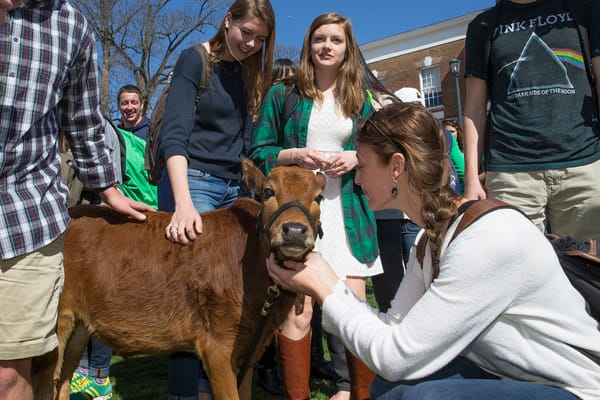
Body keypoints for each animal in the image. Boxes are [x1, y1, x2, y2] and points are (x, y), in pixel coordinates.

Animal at [35, 161, 326, 400]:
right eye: (268, 192)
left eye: (319, 198)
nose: (295, 230)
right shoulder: (217, 345)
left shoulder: (249, 351)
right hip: (58, 320)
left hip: (80, 327)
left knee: (62, 380)